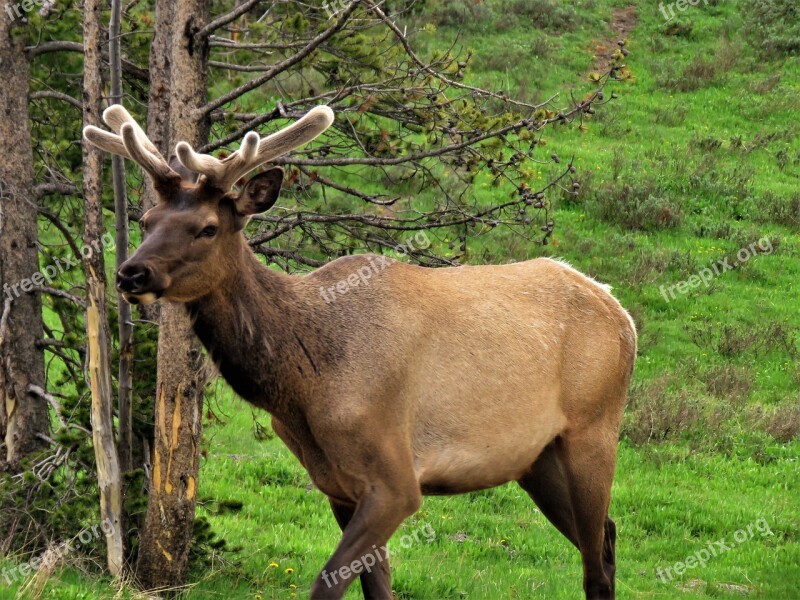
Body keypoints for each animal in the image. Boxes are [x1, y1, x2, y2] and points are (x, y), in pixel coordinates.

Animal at [84, 105, 636, 596]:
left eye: (207, 227)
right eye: (147, 219)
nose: (131, 273)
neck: (303, 384)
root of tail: (621, 311)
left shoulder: (396, 479)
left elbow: (328, 584)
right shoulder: (337, 485)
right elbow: (376, 588)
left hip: (594, 428)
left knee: (596, 559)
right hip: (536, 458)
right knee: (607, 537)